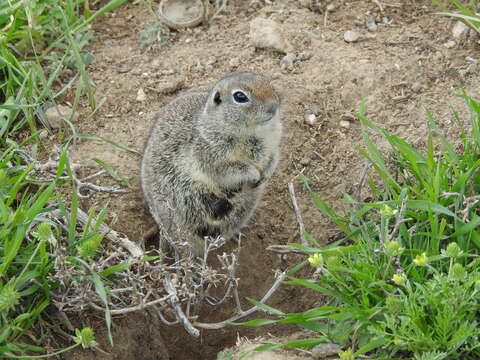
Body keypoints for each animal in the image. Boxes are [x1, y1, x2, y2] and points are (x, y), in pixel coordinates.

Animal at [141, 71, 282, 255]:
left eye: (266, 81)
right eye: (240, 96)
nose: (274, 106)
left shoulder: (273, 144)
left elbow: (274, 157)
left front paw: (267, 173)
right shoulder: (210, 154)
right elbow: (231, 169)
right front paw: (253, 173)